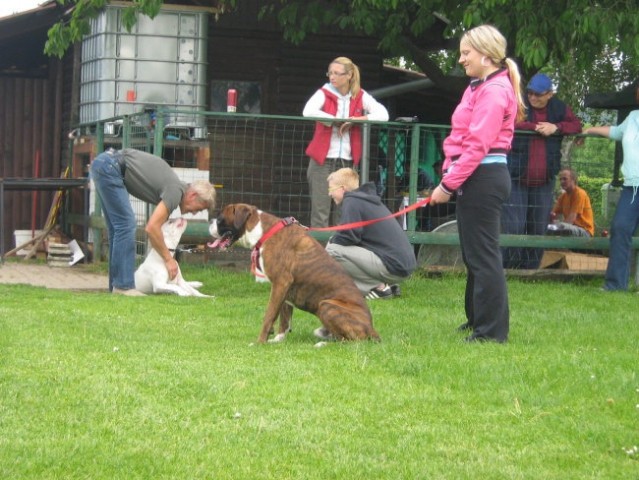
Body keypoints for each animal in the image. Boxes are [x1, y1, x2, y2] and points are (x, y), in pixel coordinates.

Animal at [209, 204, 380, 344]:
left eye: (220, 219)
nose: (210, 222)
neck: (264, 231)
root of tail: (372, 329)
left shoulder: (280, 283)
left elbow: (269, 315)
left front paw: (260, 342)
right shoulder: (284, 289)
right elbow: (284, 318)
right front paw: (277, 340)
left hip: (326, 305)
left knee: (352, 341)